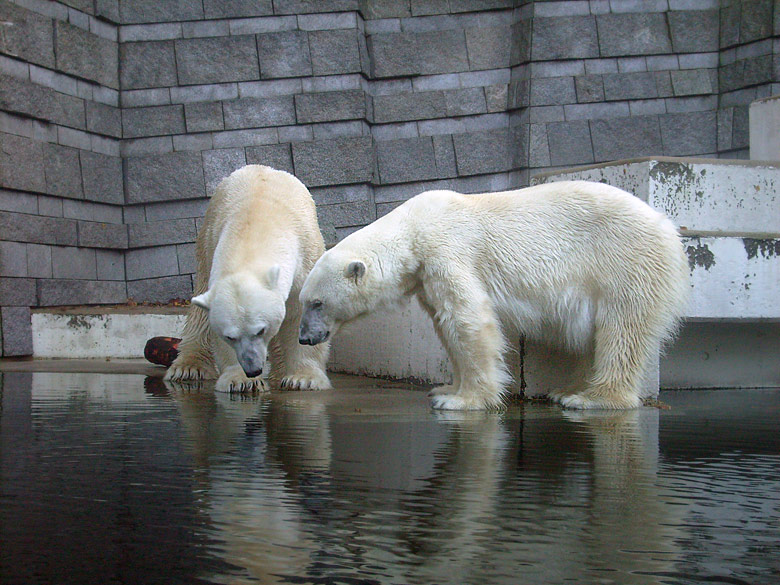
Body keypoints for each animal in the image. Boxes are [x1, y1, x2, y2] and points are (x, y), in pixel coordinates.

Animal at [166, 164, 330, 392]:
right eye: (230, 336)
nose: (253, 369)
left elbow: (301, 313)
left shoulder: (305, 259)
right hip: (205, 243)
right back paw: (188, 368)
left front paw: (303, 379)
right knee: (199, 308)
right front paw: (241, 381)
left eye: (261, 330)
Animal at [298, 180, 688, 408]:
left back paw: (591, 398)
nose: (304, 338)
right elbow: (445, 326)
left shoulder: (447, 252)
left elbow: (467, 319)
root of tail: (668, 228)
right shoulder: (425, 275)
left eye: (317, 302)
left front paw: (463, 401)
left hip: (624, 262)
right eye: (303, 302)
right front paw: (446, 389)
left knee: (622, 329)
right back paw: (568, 390)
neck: (413, 230)